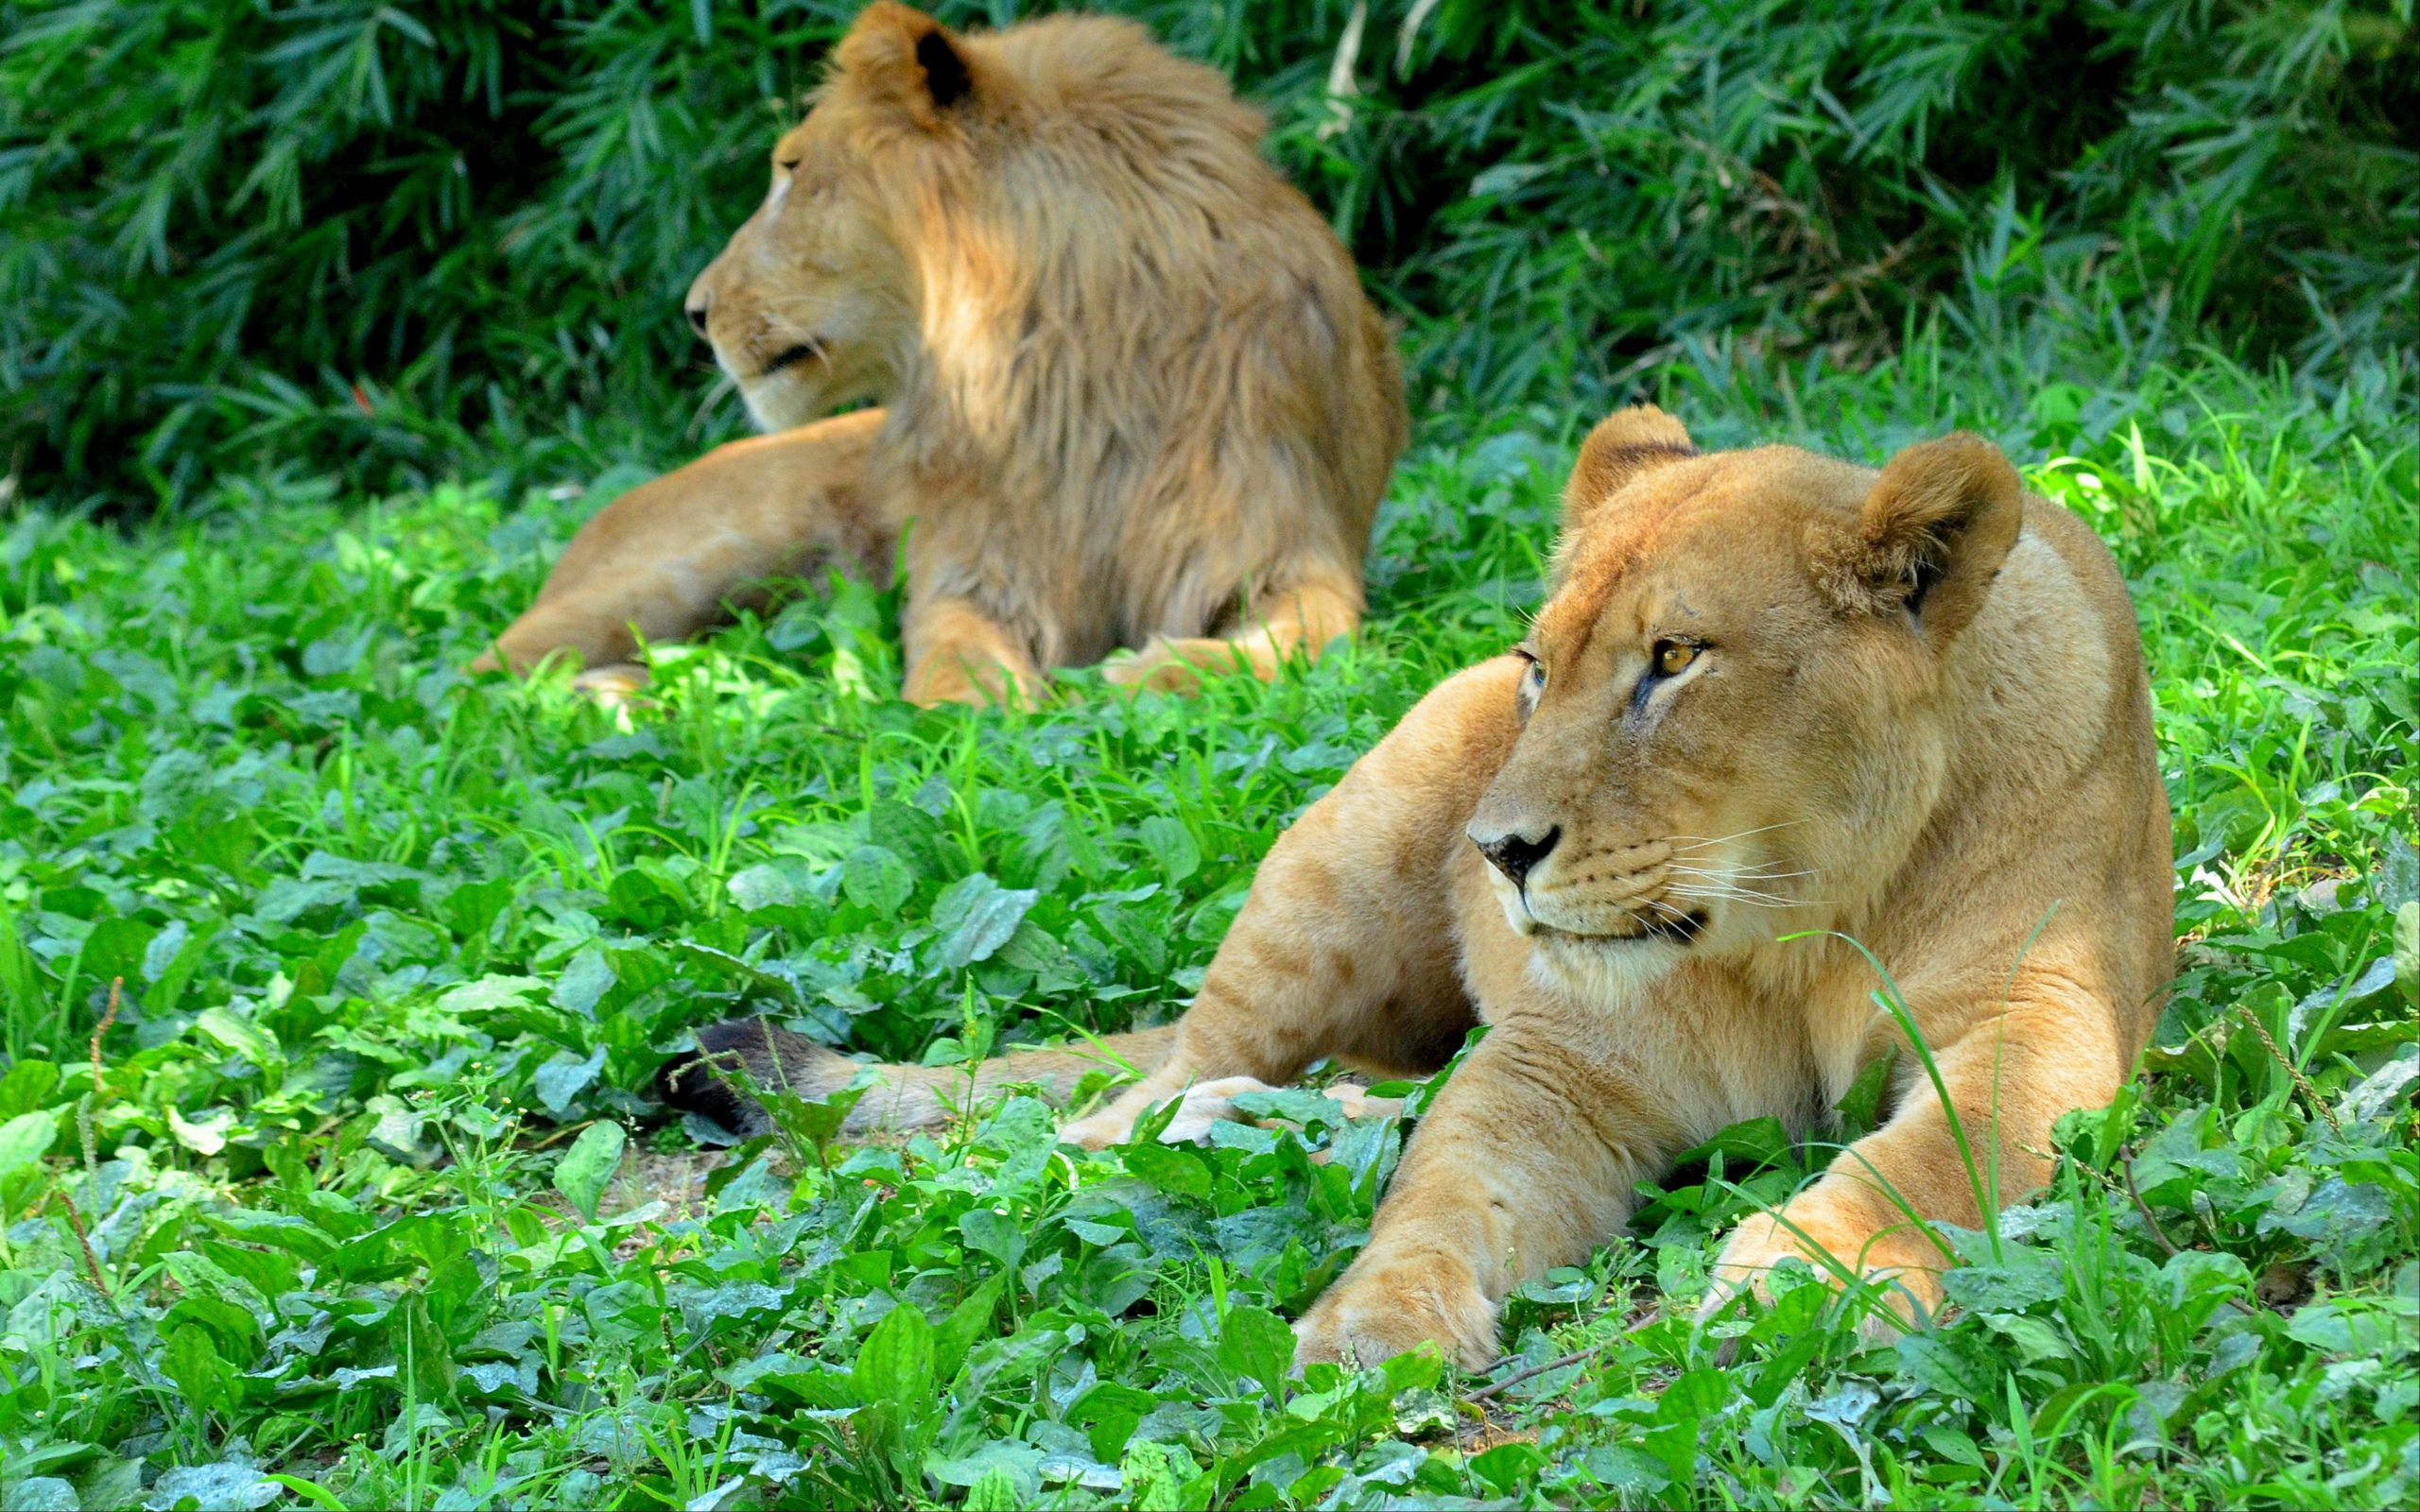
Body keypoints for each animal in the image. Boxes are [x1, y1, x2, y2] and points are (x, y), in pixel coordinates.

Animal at [474, 3, 1413, 701]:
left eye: (792, 171)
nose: (695, 313)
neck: (1073, 370)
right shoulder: (974, 566)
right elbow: (950, 651)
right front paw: (978, 716)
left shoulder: (1286, 543)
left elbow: (1307, 636)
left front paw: (1143, 675)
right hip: (668, 574)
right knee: (471, 679)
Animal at [663, 406, 2178, 1364]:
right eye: (1539, 667)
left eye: (1673, 660)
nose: (1497, 852)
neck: (1795, 928)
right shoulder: (1565, 1057)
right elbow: (1450, 1185)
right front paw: (1368, 1326)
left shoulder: (2042, 1010)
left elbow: (1944, 1148)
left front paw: (1809, 1272)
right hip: (1335, 857)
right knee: (1134, 1095)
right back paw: (1169, 1132)